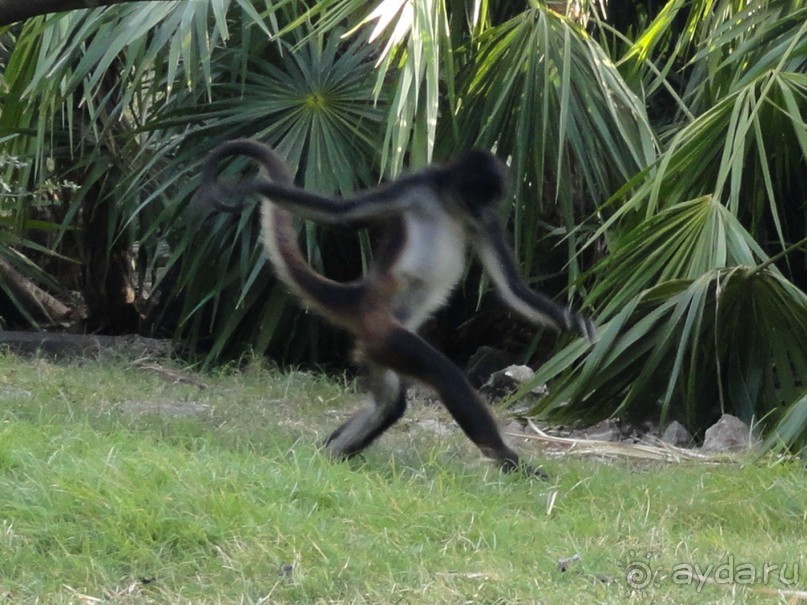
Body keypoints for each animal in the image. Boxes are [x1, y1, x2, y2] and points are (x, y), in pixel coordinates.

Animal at [201, 140, 592, 476]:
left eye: (490, 202)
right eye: (480, 197)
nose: (486, 209)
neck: (448, 205)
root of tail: (361, 296)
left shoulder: (485, 223)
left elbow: (513, 289)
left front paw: (571, 322)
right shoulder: (416, 186)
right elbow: (341, 214)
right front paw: (250, 185)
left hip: (375, 344)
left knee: (389, 404)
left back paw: (326, 457)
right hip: (386, 332)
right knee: (442, 377)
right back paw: (508, 460)